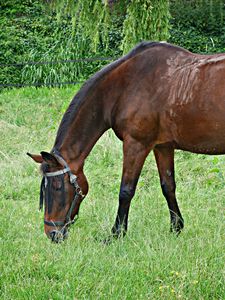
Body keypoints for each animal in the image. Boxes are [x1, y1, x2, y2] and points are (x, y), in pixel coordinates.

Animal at [27, 42, 225, 243]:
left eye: (57, 187)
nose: (52, 233)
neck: (123, 88)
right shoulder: (163, 146)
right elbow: (168, 186)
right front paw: (176, 228)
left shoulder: (135, 145)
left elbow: (126, 190)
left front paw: (116, 233)